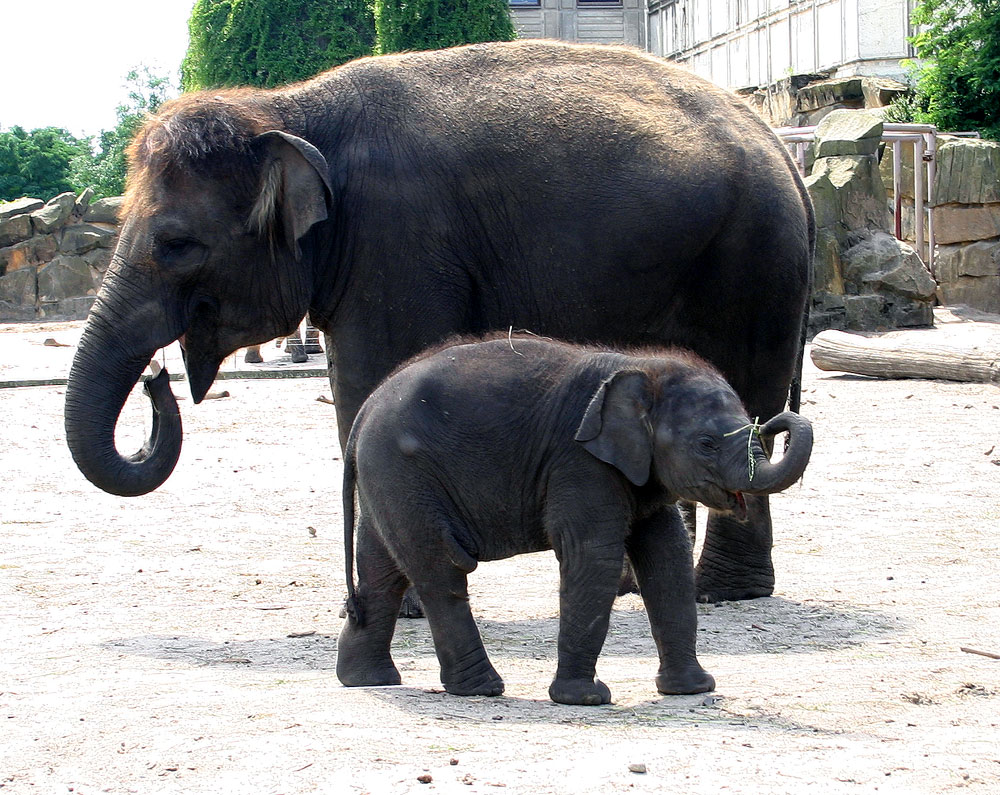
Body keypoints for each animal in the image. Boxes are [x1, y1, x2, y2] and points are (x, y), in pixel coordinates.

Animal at [62, 40, 812, 604]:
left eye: (175, 244)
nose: (156, 379)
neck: (284, 106)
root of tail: (779, 145)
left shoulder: (396, 242)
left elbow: (370, 385)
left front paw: (400, 605)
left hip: (753, 263)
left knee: (750, 398)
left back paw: (724, 591)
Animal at [336, 334, 812, 704]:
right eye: (706, 444)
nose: (774, 420)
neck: (642, 367)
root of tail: (365, 410)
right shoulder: (579, 461)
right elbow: (593, 557)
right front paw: (585, 699)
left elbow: (667, 557)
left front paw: (694, 689)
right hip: (405, 473)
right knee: (442, 570)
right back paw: (482, 689)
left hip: (388, 479)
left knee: (382, 571)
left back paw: (367, 681)